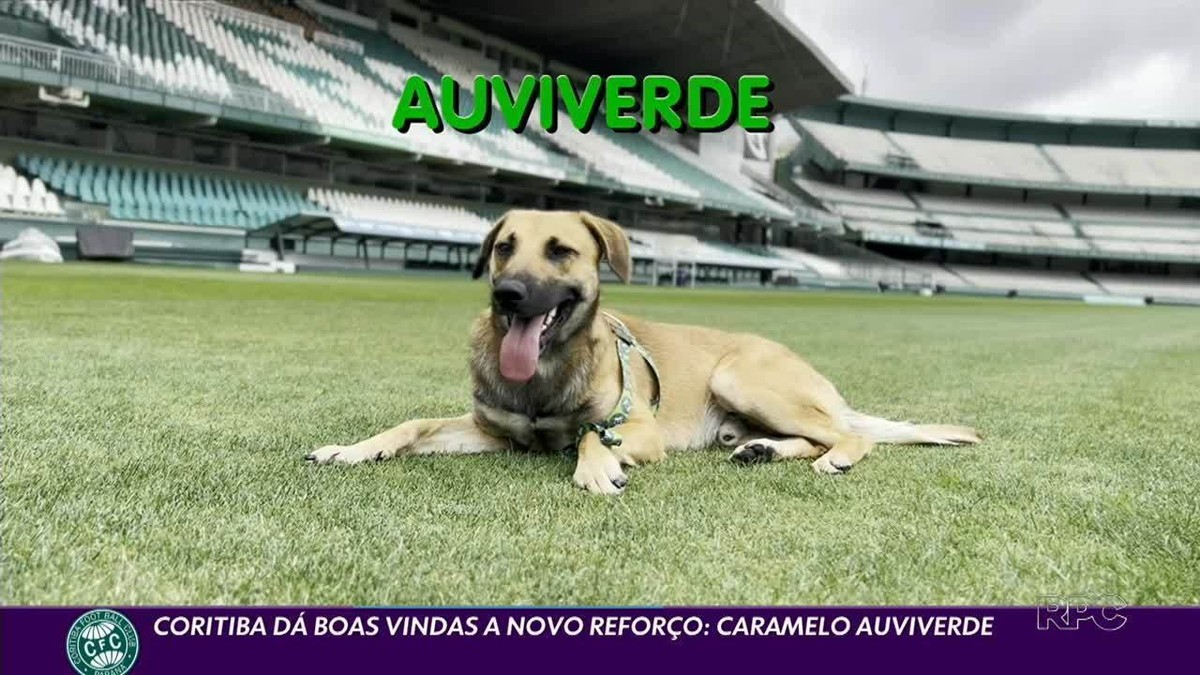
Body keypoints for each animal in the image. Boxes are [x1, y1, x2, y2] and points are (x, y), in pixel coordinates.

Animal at [304, 210, 979, 494]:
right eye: (503, 247)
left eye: (561, 251)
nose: (508, 294)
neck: (546, 371)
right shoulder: (492, 430)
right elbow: (413, 423)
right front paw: (354, 449)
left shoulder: (641, 429)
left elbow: (590, 434)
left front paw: (597, 466)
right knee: (812, 435)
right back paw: (762, 450)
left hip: (741, 379)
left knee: (847, 435)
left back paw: (834, 457)